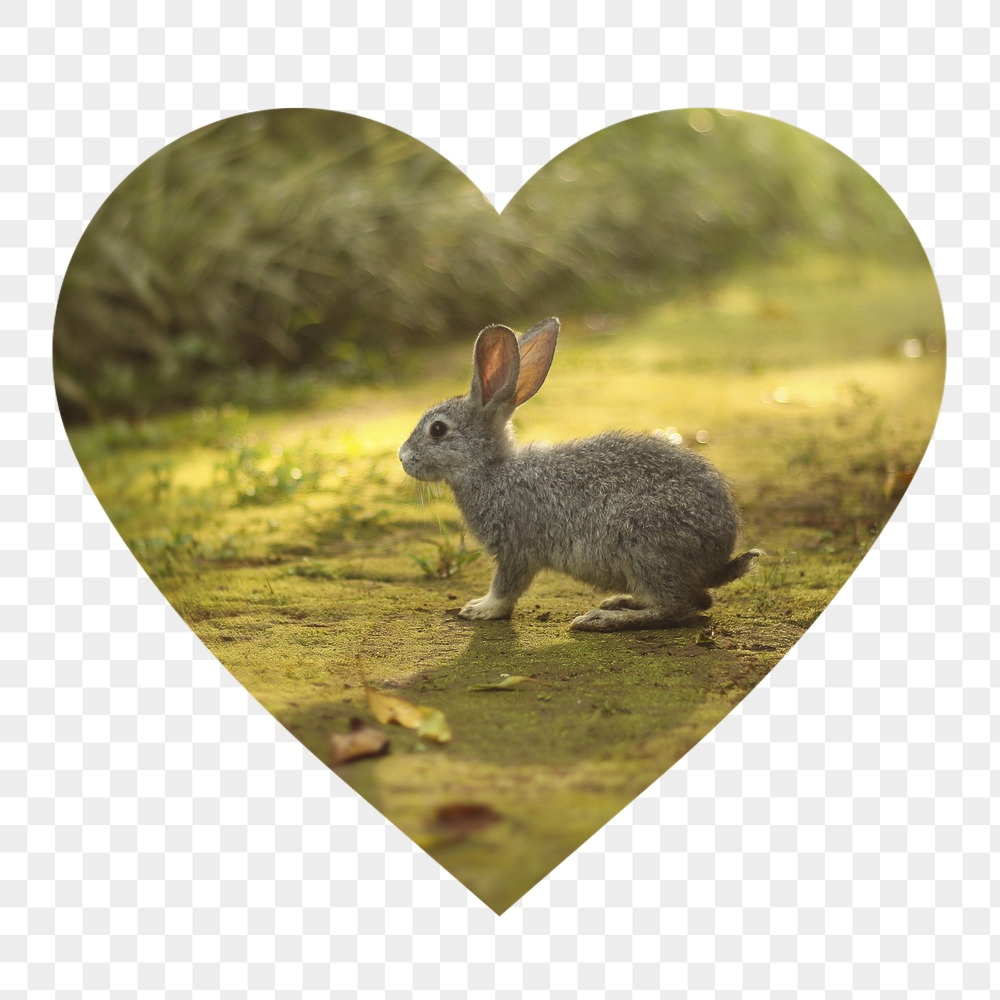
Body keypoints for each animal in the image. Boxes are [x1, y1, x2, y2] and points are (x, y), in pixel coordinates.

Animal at [397, 317, 760, 631]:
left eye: (438, 430)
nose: (402, 457)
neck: (491, 469)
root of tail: (718, 557)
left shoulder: (517, 548)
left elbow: (506, 587)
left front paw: (480, 609)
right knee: (697, 601)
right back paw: (620, 601)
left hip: (645, 548)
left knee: (678, 608)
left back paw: (603, 619)